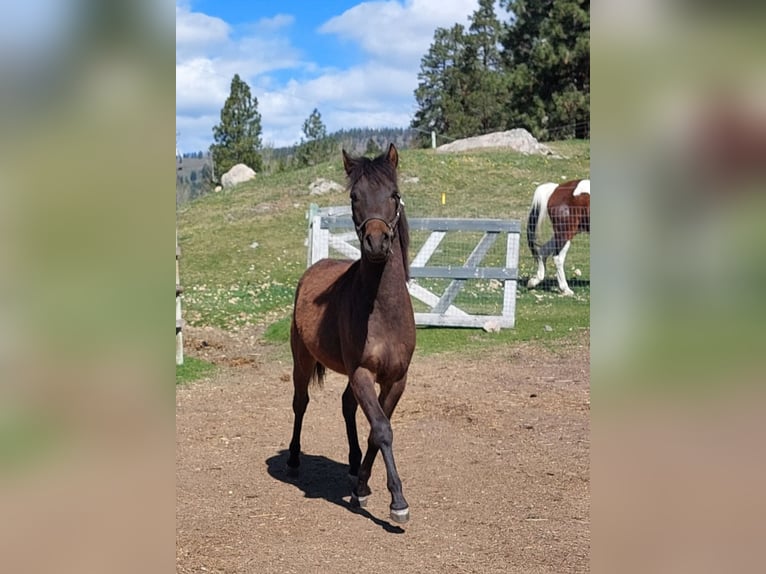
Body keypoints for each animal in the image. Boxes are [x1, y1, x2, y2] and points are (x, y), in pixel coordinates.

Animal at [288, 144, 416, 528]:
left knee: (346, 406)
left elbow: (377, 429)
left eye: (394, 195)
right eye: (354, 197)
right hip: (302, 361)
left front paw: (362, 485)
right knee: (300, 403)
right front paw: (398, 502)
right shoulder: (362, 373)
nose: (376, 242)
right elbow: (382, 428)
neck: (381, 311)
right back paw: (294, 460)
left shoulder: (396, 379)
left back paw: (353, 465)